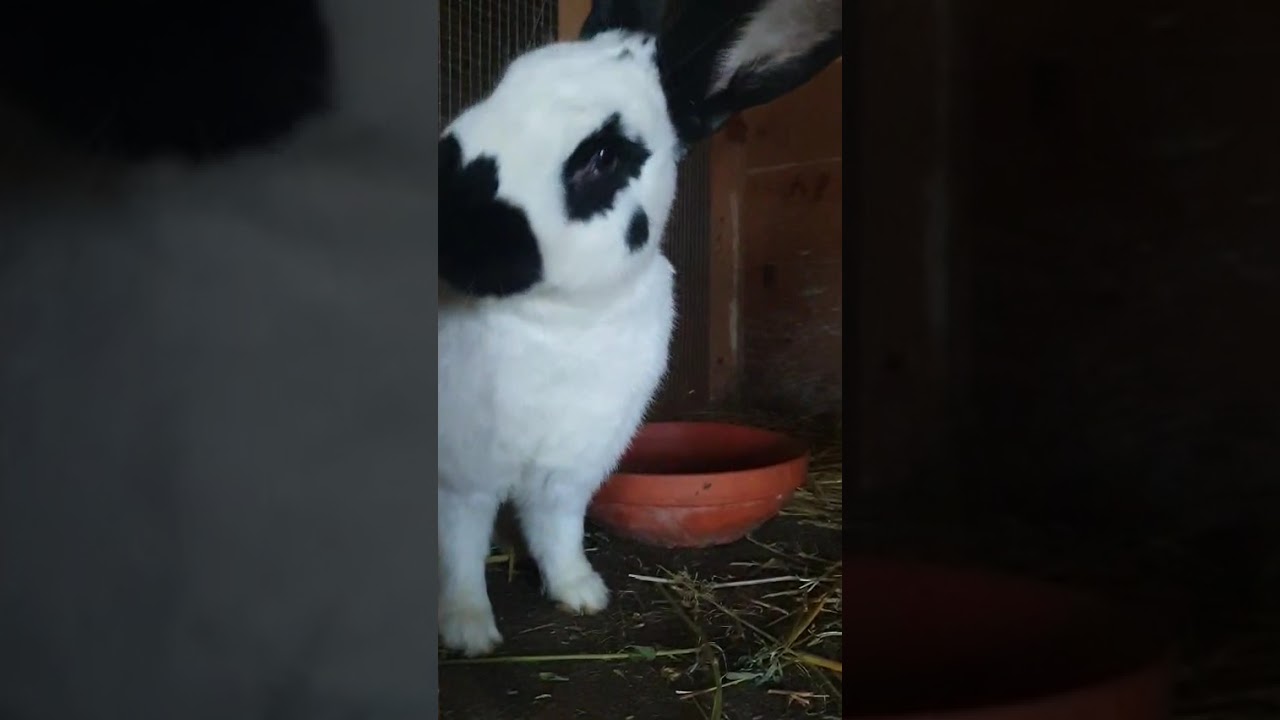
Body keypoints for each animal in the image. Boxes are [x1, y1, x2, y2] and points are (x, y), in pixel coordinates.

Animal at [436, 0, 843, 657]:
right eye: (503, 85)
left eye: (604, 156)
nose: (447, 219)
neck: (555, 318)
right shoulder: (461, 475)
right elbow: (460, 549)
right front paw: (469, 631)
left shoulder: (573, 469)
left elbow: (557, 529)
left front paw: (581, 593)